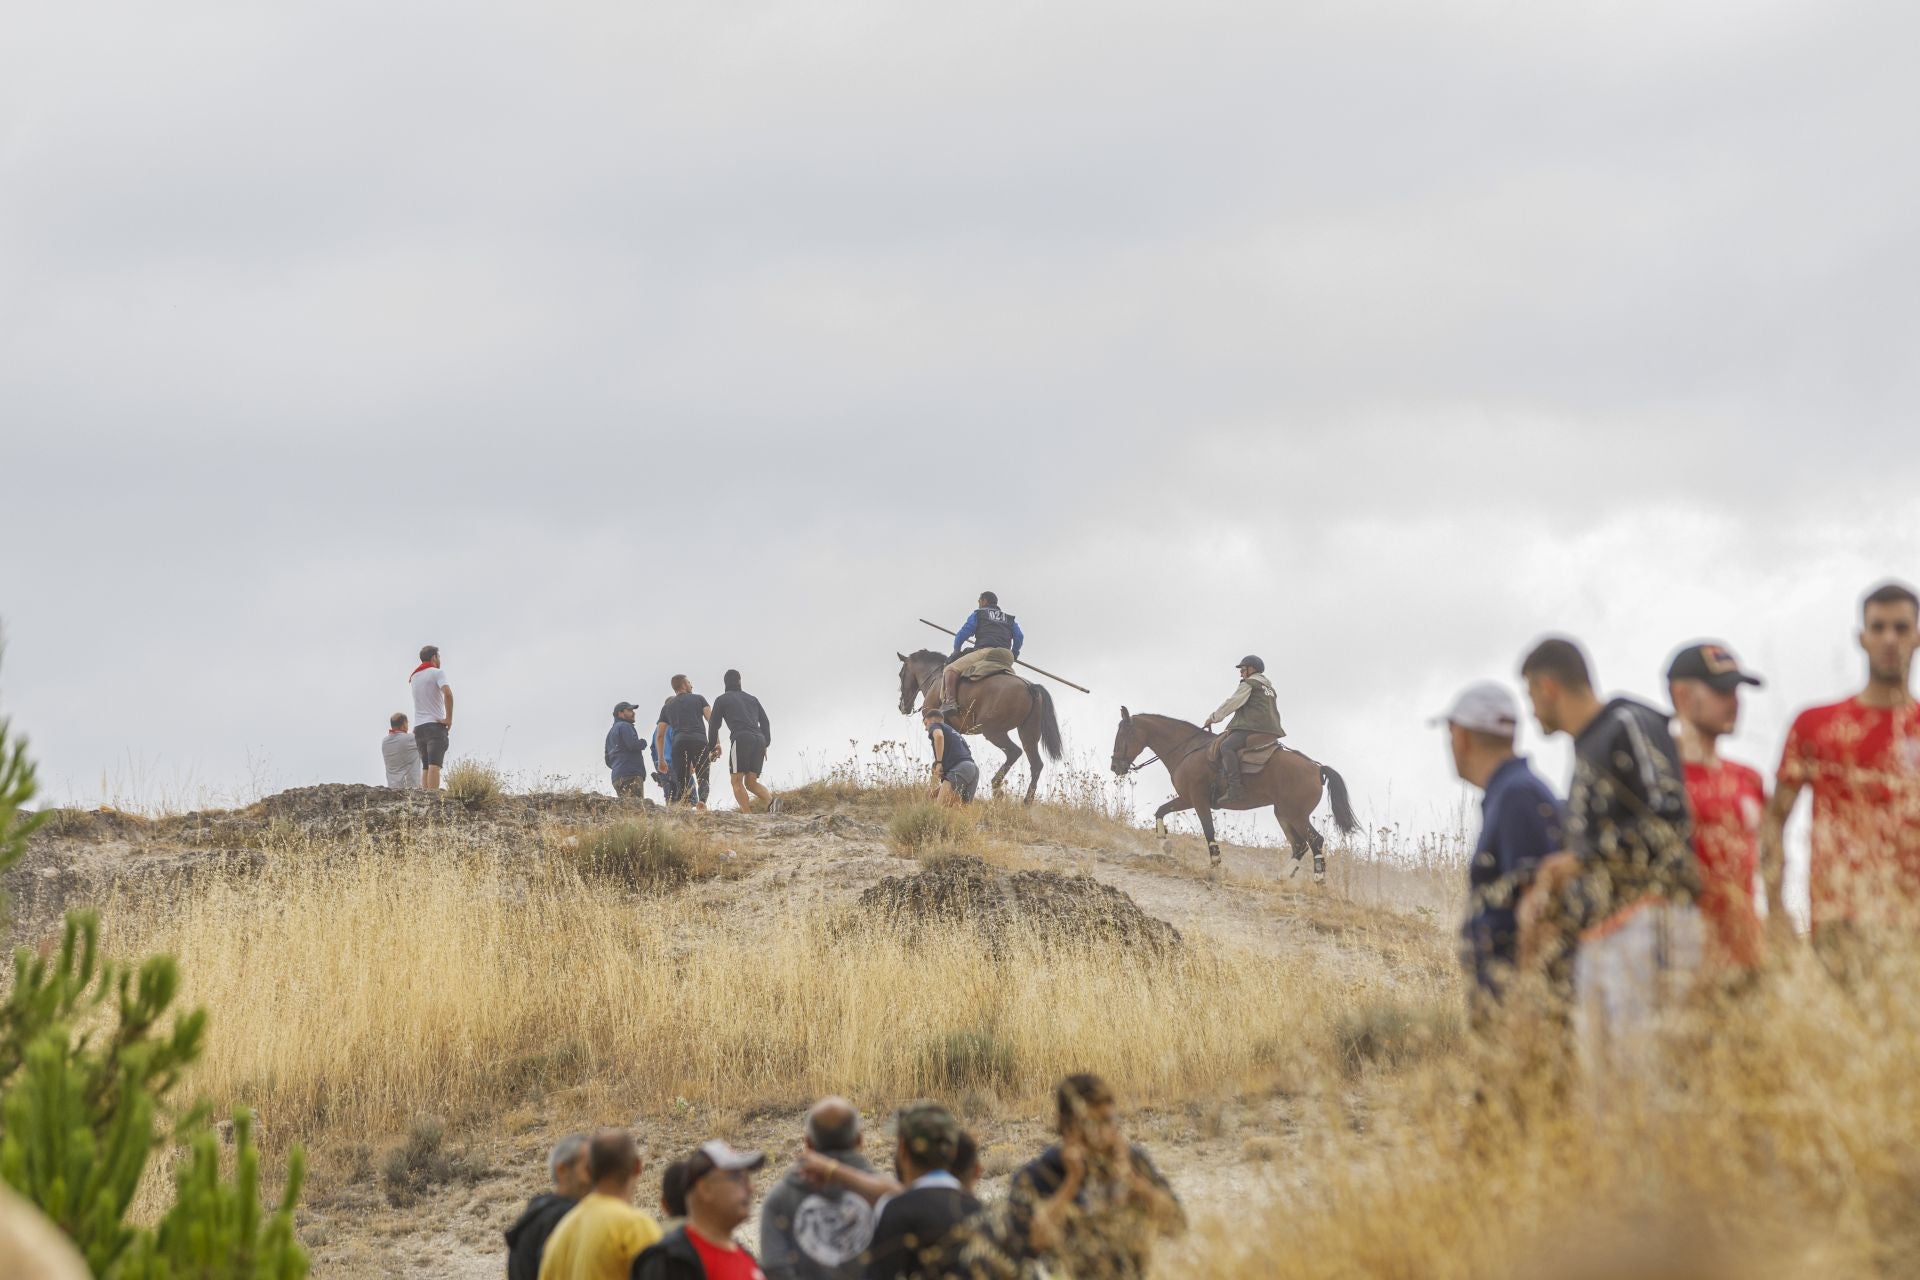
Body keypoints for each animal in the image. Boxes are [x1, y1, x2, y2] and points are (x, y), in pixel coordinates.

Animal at [894, 652, 1067, 802]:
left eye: (901, 674)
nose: (902, 706)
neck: (936, 678)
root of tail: (1031, 687)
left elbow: (937, 760)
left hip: (993, 731)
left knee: (1014, 752)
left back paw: (996, 786)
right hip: (1028, 734)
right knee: (1036, 764)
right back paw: (1025, 801)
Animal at [1105, 710, 1359, 882]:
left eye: (1122, 735)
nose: (1115, 766)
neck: (1188, 749)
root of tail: (1317, 768)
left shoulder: (1197, 799)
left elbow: (1208, 830)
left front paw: (1215, 862)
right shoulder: (1186, 799)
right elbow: (1160, 811)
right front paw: (1164, 843)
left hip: (1296, 815)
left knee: (1315, 841)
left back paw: (1318, 878)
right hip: (1283, 814)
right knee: (1299, 845)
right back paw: (1282, 876)